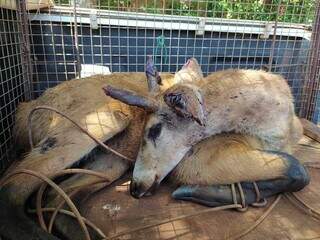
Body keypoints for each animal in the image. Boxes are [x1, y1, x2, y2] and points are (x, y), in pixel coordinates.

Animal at [0, 58, 308, 240]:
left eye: (155, 129)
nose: (135, 188)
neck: (276, 123)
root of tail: (23, 110)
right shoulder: (196, 161)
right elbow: (297, 168)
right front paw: (204, 192)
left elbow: (294, 165)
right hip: (97, 120)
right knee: (13, 187)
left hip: (111, 159)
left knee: (55, 195)